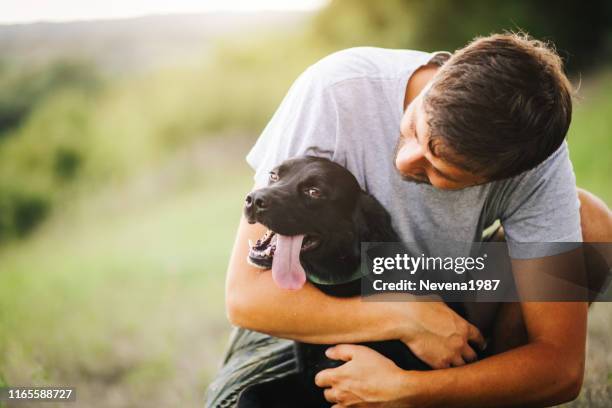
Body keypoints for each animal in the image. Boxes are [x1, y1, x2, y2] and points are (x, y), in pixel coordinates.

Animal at [240, 156, 454, 408]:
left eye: (314, 192)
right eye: (274, 175)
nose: (253, 200)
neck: (342, 278)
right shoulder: (311, 380)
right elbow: (248, 392)